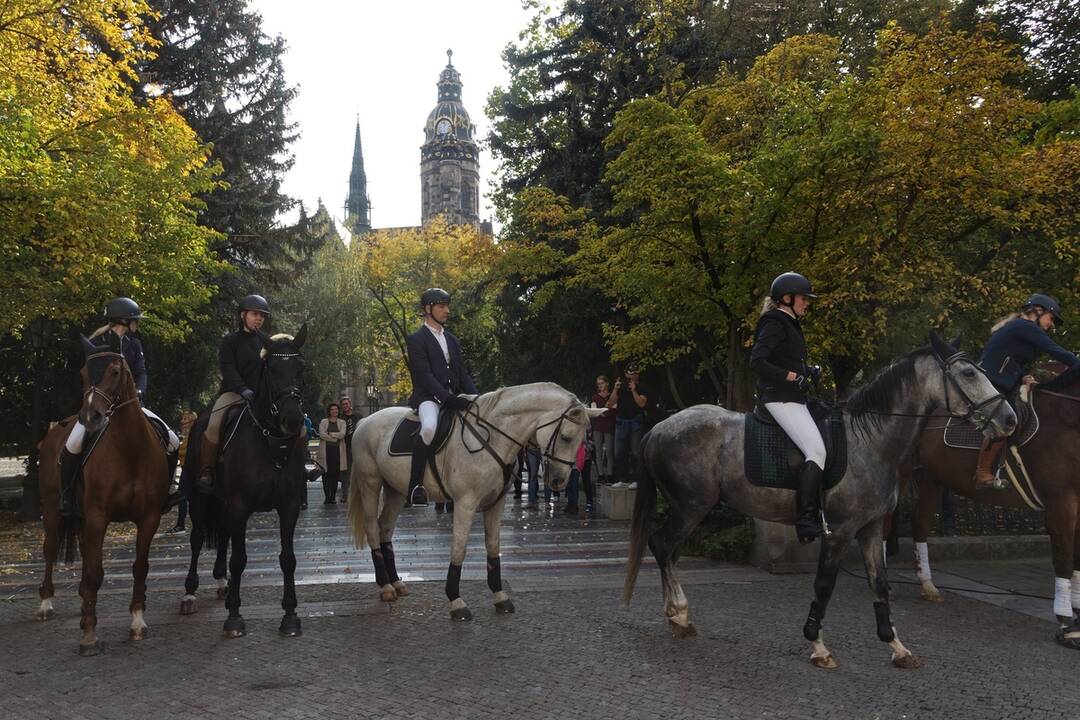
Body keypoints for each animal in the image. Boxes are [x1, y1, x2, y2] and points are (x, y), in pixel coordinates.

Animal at [35, 334, 169, 656]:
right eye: (83, 374)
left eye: (115, 372)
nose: (90, 417)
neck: (130, 448)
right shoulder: (98, 516)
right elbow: (95, 573)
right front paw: (89, 635)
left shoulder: (149, 518)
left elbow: (139, 567)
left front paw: (137, 621)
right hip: (51, 507)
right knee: (51, 549)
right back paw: (46, 603)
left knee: (85, 554)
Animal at [174, 325, 306, 634]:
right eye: (271, 370)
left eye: (301, 368)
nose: (293, 419)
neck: (270, 442)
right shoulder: (240, 504)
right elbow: (239, 559)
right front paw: (234, 616)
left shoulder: (289, 506)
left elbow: (288, 559)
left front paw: (290, 614)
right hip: (199, 498)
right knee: (198, 538)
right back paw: (190, 592)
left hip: (223, 504)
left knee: (222, 535)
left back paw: (222, 582)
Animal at [347, 379, 609, 621]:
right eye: (565, 437)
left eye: (584, 441)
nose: (558, 481)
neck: (492, 438)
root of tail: (364, 422)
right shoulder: (465, 503)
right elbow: (459, 548)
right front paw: (456, 601)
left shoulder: (496, 503)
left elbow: (493, 546)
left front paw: (500, 597)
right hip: (371, 484)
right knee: (373, 529)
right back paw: (385, 586)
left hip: (396, 491)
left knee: (385, 529)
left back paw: (396, 583)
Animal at [622, 334, 1015, 669]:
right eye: (968, 373)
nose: (1009, 419)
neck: (871, 440)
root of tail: (657, 428)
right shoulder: (839, 530)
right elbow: (824, 585)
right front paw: (818, 646)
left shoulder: (871, 529)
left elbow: (880, 584)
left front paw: (896, 646)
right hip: (692, 506)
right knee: (662, 545)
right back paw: (679, 613)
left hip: (688, 508)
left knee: (669, 552)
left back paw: (677, 616)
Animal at [907, 362, 1080, 651]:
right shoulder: (1061, 501)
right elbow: (1064, 557)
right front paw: (1066, 621)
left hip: (931, 479)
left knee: (919, 524)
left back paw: (927, 585)